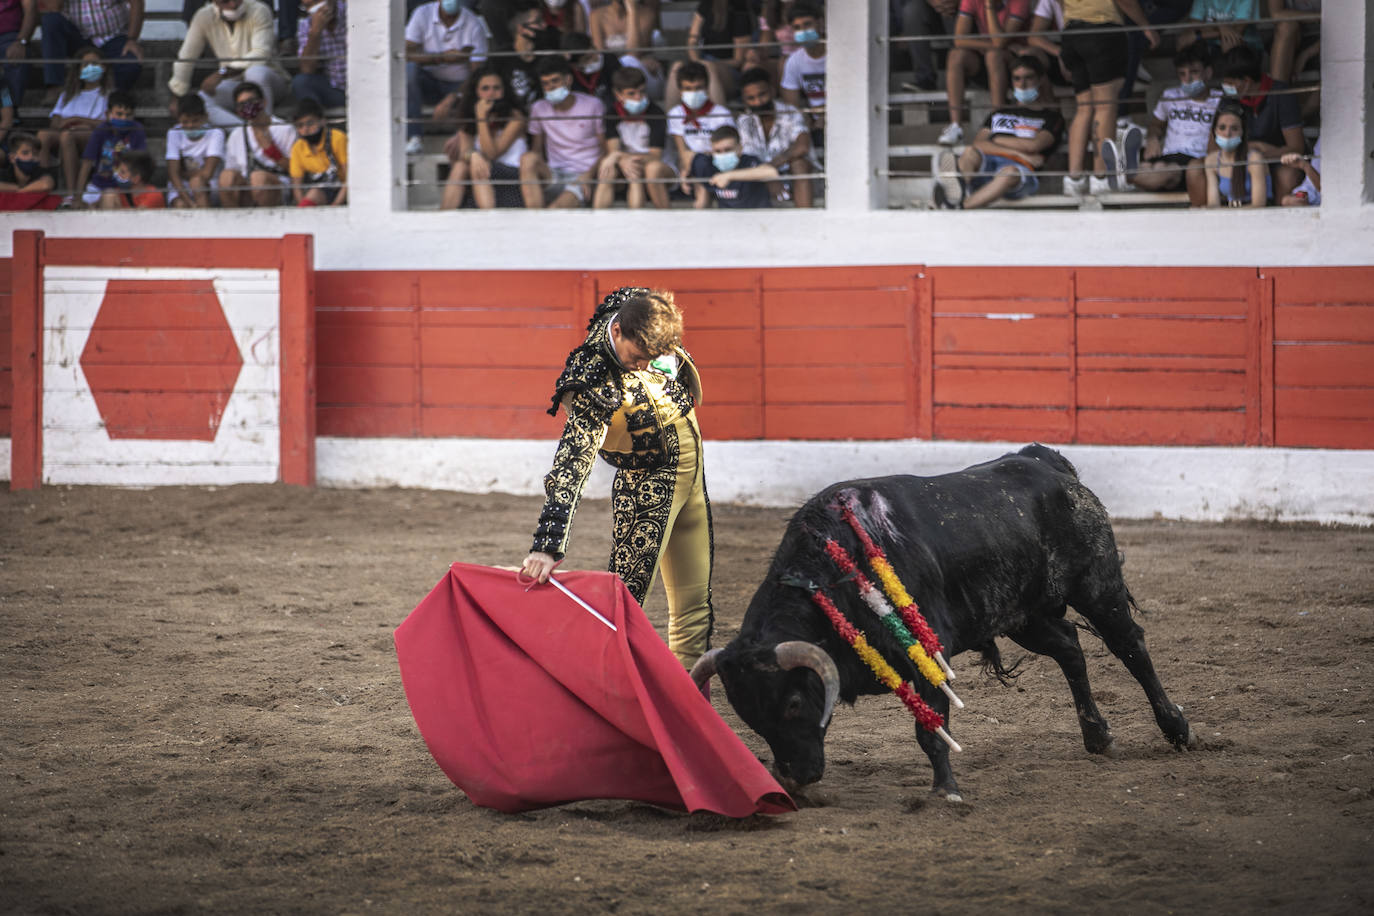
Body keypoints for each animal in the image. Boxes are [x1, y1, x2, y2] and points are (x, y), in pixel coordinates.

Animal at [697, 447, 1192, 796]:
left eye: (795, 703)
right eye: (749, 715)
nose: (795, 778)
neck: (836, 574)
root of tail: (1048, 463)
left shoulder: (928, 656)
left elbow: (930, 729)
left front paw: (946, 790)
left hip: (1097, 586)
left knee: (1131, 648)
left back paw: (1176, 728)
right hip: (1022, 616)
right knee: (1070, 648)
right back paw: (1097, 735)